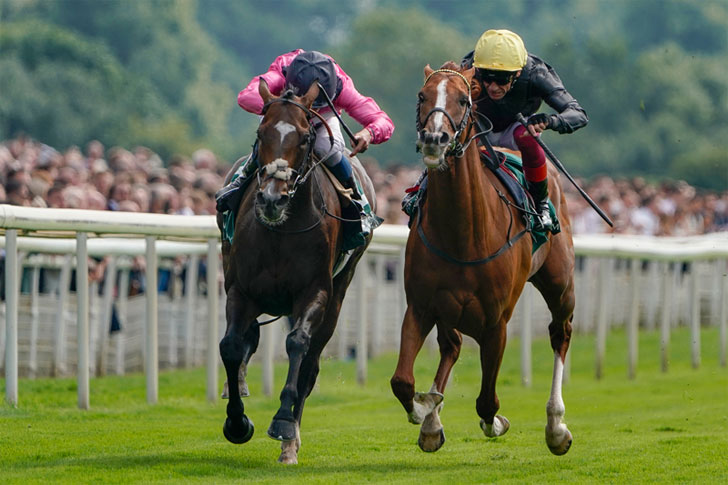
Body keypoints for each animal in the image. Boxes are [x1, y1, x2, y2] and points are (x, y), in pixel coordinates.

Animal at [216, 79, 377, 464]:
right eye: (261, 132)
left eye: (305, 137)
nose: (272, 199)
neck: (281, 231)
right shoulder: (240, 289)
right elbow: (231, 345)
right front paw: (237, 423)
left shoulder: (314, 292)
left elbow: (297, 346)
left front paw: (284, 423)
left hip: (339, 293)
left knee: (310, 363)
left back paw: (291, 442)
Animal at [390, 62, 575, 455]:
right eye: (422, 95)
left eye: (463, 99)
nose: (435, 139)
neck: (464, 235)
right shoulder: (421, 306)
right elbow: (402, 381)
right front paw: (427, 409)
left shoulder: (496, 323)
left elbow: (487, 403)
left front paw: (497, 423)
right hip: (448, 310)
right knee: (452, 346)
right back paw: (432, 422)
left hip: (560, 284)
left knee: (560, 333)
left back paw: (556, 426)